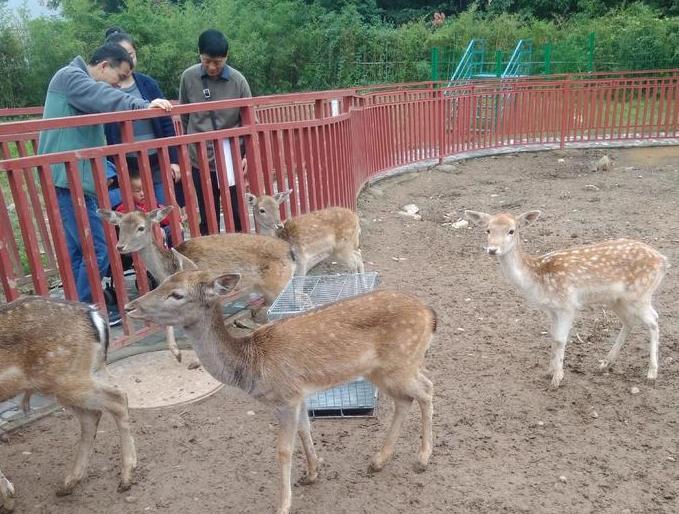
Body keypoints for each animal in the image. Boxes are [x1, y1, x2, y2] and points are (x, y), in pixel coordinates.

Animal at [0, 294, 137, 510]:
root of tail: (94, 315)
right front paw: (8, 495)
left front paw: (8, 498)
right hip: (73, 379)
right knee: (93, 414)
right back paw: (69, 482)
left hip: (66, 379)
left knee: (118, 398)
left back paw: (126, 477)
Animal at [97, 204, 294, 360]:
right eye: (119, 226)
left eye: (141, 227)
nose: (120, 247)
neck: (169, 268)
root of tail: (289, 250)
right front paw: (177, 353)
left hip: (278, 284)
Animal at [125, 268, 438, 512]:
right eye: (162, 282)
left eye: (177, 294)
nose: (130, 306)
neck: (250, 365)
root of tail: (430, 314)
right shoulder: (299, 395)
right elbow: (305, 430)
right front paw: (312, 473)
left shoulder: (285, 397)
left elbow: (283, 450)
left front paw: (284, 504)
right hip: (383, 370)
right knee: (407, 398)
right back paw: (378, 460)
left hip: (400, 362)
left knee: (426, 390)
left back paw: (422, 459)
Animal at [468, 210, 668, 386]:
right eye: (487, 229)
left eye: (511, 230)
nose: (492, 249)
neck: (538, 279)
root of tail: (663, 260)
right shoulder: (552, 309)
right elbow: (552, 336)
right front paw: (548, 371)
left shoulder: (568, 305)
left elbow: (560, 339)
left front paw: (557, 379)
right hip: (618, 299)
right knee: (629, 321)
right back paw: (605, 362)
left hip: (641, 293)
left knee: (653, 320)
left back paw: (652, 373)